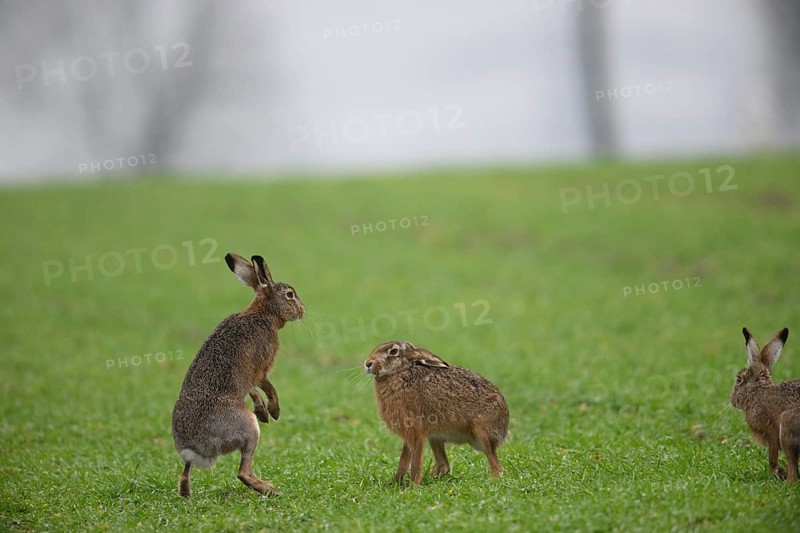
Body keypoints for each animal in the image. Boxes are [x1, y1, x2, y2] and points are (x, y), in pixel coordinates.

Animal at [171, 252, 304, 497]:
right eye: (290, 294)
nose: (302, 310)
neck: (263, 313)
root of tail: (196, 449)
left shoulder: (251, 377)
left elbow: (253, 389)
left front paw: (264, 410)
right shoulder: (261, 367)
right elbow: (266, 386)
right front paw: (273, 411)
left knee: (185, 472)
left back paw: (186, 492)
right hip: (248, 428)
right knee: (243, 471)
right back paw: (271, 490)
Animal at [364, 341, 509, 485]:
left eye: (393, 351)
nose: (368, 363)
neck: (399, 373)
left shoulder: (416, 431)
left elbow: (415, 461)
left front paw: (413, 485)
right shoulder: (410, 434)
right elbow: (403, 460)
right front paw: (394, 484)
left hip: (482, 433)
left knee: (496, 466)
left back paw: (491, 480)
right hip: (435, 438)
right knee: (444, 465)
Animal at [730, 327, 800, 482]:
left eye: (738, 379)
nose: (732, 401)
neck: (756, 392)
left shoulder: (771, 432)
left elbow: (772, 457)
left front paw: (776, 472)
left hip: (786, 425)